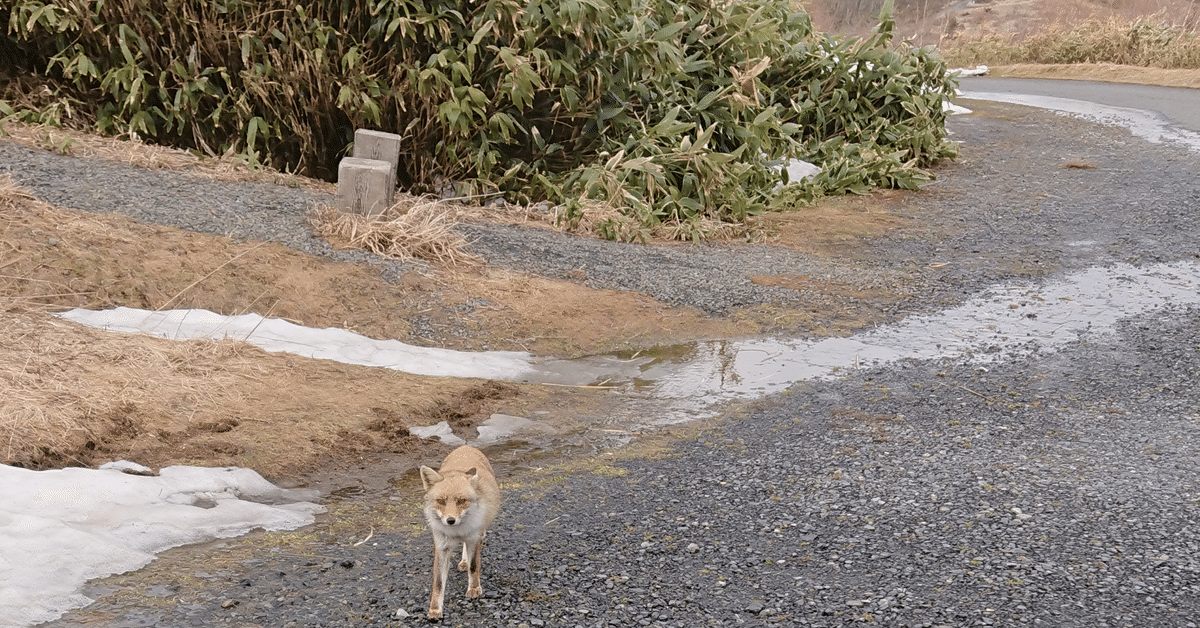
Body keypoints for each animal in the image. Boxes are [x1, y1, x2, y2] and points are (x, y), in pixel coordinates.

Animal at [420, 444, 499, 619]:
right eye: (441, 501)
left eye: (461, 501)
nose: (450, 520)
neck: (457, 530)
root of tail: (466, 446)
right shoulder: (442, 546)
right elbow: (438, 582)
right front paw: (435, 609)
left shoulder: (474, 538)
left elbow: (474, 566)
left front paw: (474, 588)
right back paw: (463, 561)